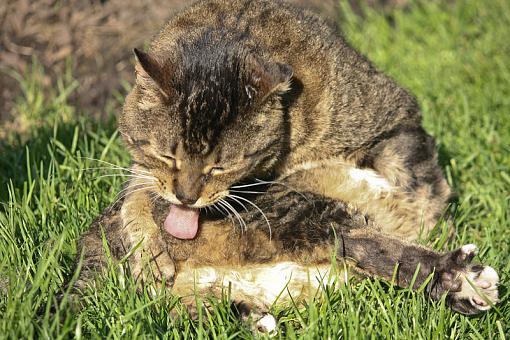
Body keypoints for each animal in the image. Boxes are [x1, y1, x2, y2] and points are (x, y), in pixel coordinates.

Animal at [75, 0, 498, 332]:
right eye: (167, 156)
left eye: (221, 166)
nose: (186, 197)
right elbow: (137, 192)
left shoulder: (393, 119)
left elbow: (416, 180)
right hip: (305, 217)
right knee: (366, 244)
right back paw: (457, 279)